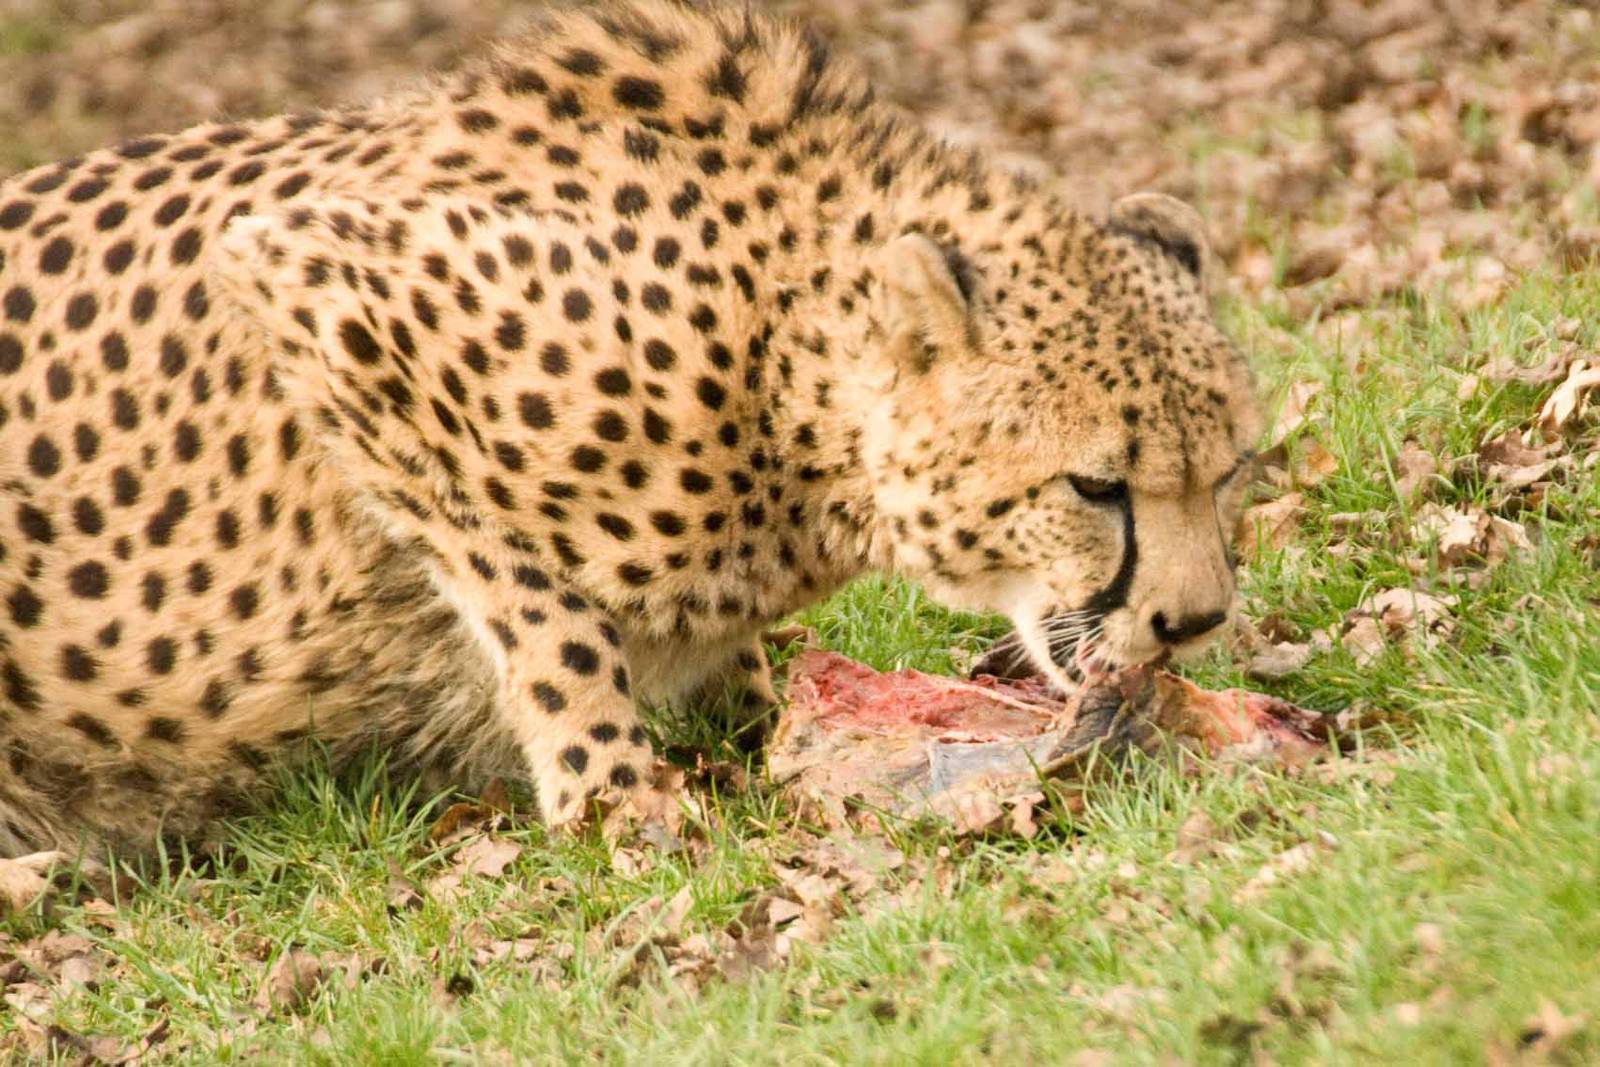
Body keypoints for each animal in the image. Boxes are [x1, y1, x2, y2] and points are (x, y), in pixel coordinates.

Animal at [0, 0, 1260, 863]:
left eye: (1229, 469)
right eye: (1095, 485)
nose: (1194, 619)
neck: (779, 361)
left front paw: (760, 717)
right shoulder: (320, 290)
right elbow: (539, 608)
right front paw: (613, 790)